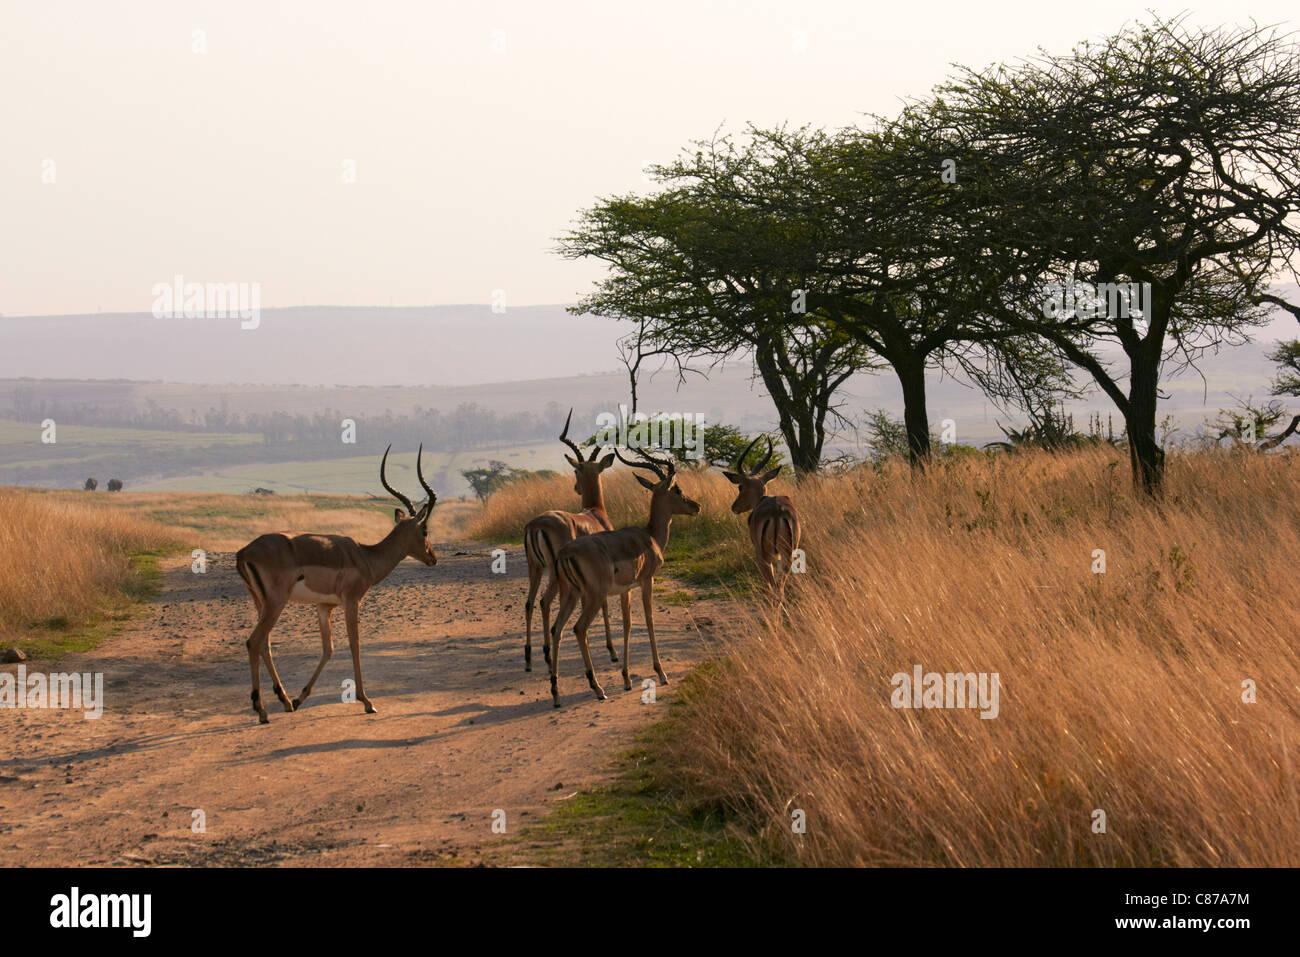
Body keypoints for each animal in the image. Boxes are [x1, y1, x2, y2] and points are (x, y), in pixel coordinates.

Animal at [235, 445, 438, 724]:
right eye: (425, 530)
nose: (433, 558)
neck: (365, 556)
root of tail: (244, 552)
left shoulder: (324, 606)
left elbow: (328, 648)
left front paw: (300, 698)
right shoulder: (352, 601)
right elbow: (355, 644)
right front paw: (367, 702)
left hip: (261, 602)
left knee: (264, 643)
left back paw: (285, 701)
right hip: (276, 602)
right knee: (254, 641)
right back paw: (262, 711)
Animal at [522, 409, 620, 672]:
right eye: (576, 470)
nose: (577, 487)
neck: (595, 513)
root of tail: (535, 525)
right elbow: (604, 605)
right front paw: (612, 651)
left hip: (535, 568)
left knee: (529, 603)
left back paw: (529, 658)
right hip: (555, 574)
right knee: (545, 602)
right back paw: (547, 655)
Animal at [547, 446, 700, 707]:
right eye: (677, 489)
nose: (696, 506)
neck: (650, 538)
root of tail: (566, 553)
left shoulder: (626, 589)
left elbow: (628, 624)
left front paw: (627, 678)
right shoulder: (646, 582)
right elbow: (648, 619)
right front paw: (661, 673)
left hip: (571, 595)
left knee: (556, 629)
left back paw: (556, 694)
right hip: (593, 597)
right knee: (579, 628)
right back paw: (598, 689)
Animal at [719, 435, 801, 601]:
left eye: (740, 486)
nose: (734, 507)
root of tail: (777, 510)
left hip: (765, 556)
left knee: (774, 587)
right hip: (788, 555)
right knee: (780, 587)